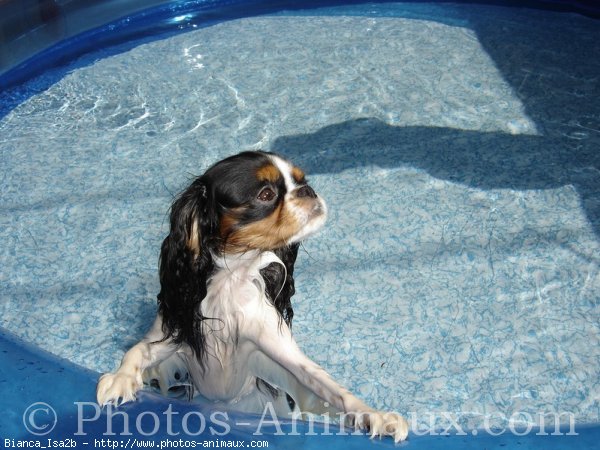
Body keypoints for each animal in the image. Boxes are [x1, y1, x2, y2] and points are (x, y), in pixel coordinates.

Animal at [97, 152, 408, 442]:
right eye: (266, 194)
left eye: (302, 180)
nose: (307, 190)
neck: (231, 279)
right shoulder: (173, 330)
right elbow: (137, 350)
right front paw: (120, 380)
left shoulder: (276, 348)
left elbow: (328, 386)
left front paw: (376, 416)